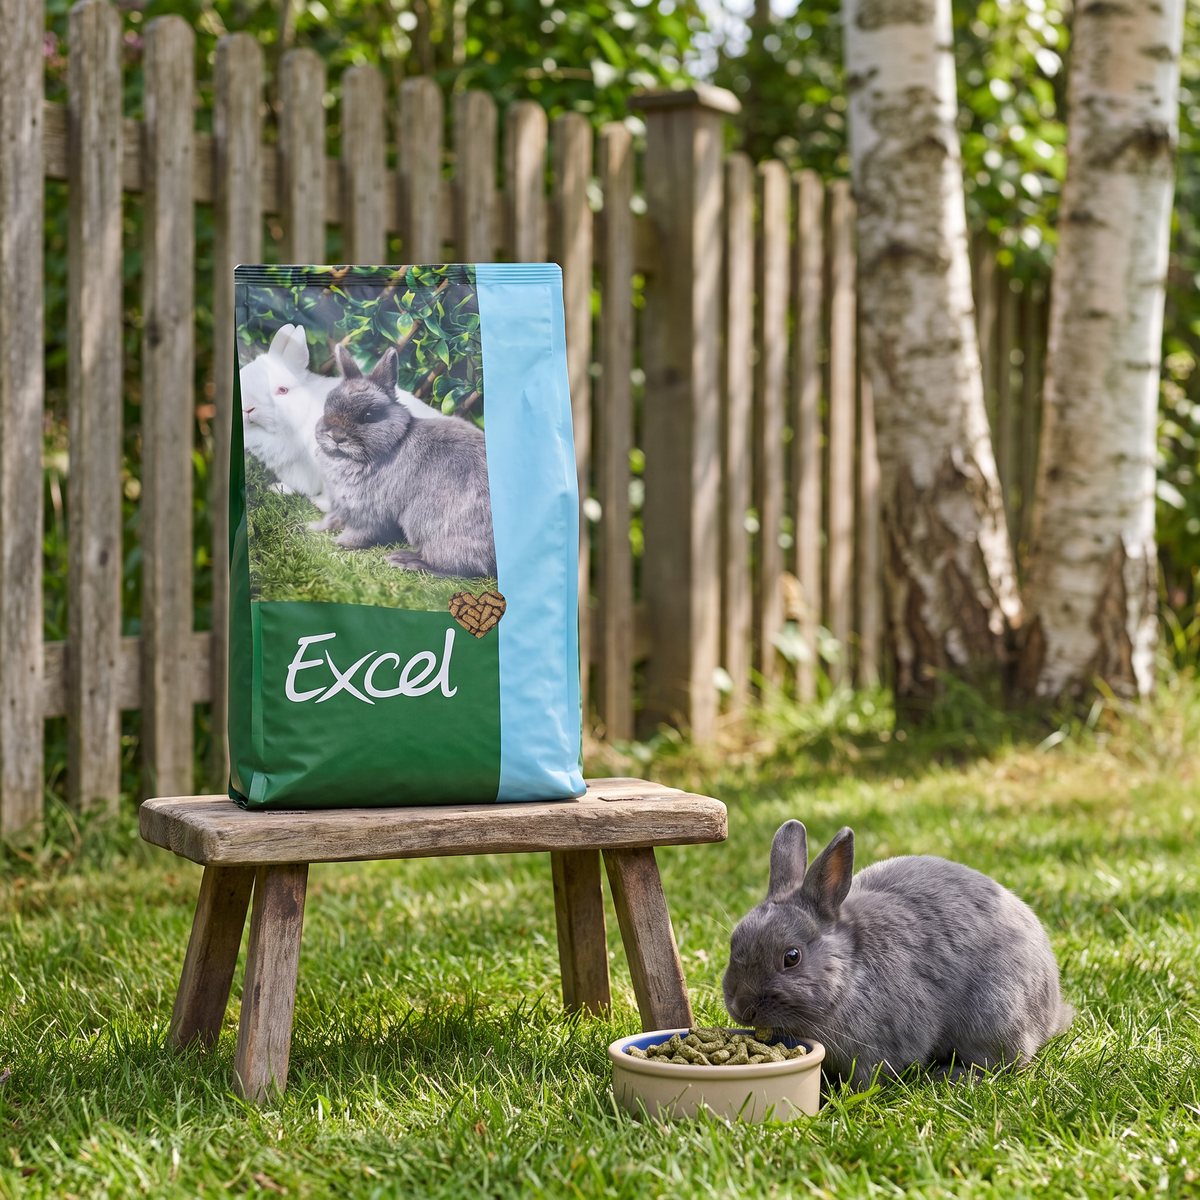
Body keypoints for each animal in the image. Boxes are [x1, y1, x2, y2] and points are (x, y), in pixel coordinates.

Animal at [312, 344, 496, 578]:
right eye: (327, 407)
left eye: (369, 416)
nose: (336, 437)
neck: (394, 443)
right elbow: (333, 518)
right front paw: (315, 526)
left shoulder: (369, 511)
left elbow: (360, 532)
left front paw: (342, 542)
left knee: (458, 566)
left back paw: (403, 560)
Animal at [723, 821, 1074, 1089]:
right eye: (733, 941)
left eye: (792, 957)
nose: (741, 1008)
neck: (848, 975)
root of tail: (1052, 1009)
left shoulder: (881, 1046)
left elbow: (869, 1078)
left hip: (996, 1013)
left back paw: (951, 1075)